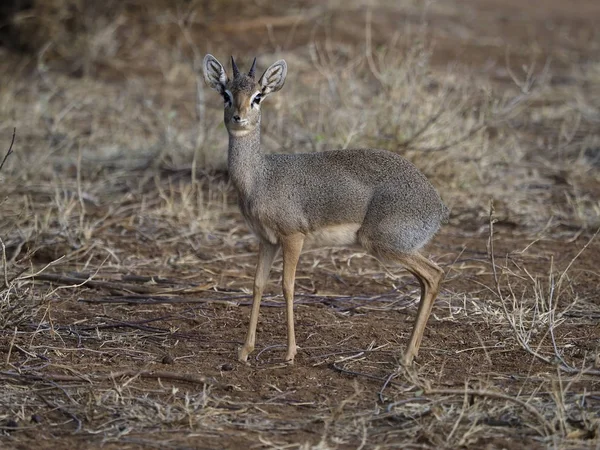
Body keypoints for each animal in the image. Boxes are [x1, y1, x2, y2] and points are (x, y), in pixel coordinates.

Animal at [204, 54, 448, 368]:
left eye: (258, 96)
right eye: (226, 94)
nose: (238, 117)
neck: (260, 177)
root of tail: (437, 205)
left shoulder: (293, 237)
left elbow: (287, 286)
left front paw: (290, 352)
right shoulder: (267, 240)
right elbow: (258, 284)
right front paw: (246, 350)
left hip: (384, 244)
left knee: (434, 274)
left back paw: (406, 357)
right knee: (426, 280)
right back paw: (410, 353)